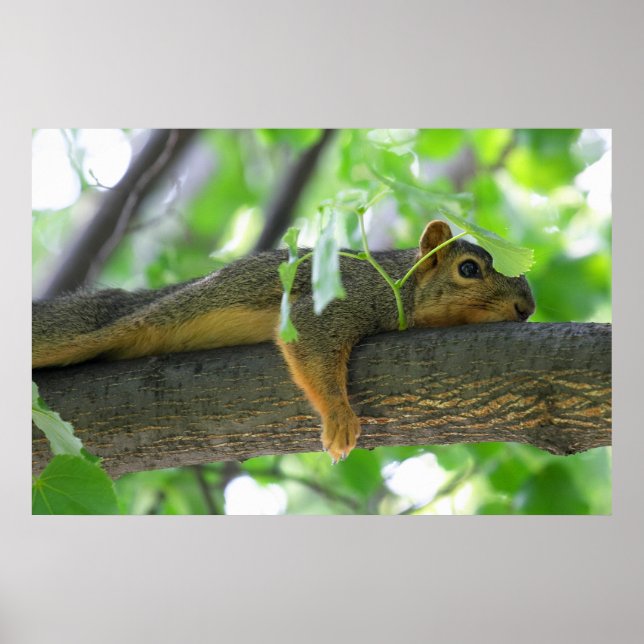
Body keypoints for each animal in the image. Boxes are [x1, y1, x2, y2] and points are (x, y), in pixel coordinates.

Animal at [32, 220, 535, 462]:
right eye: (468, 269)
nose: (526, 309)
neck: (399, 284)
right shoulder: (339, 301)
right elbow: (312, 345)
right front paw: (339, 419)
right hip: (75, 327)